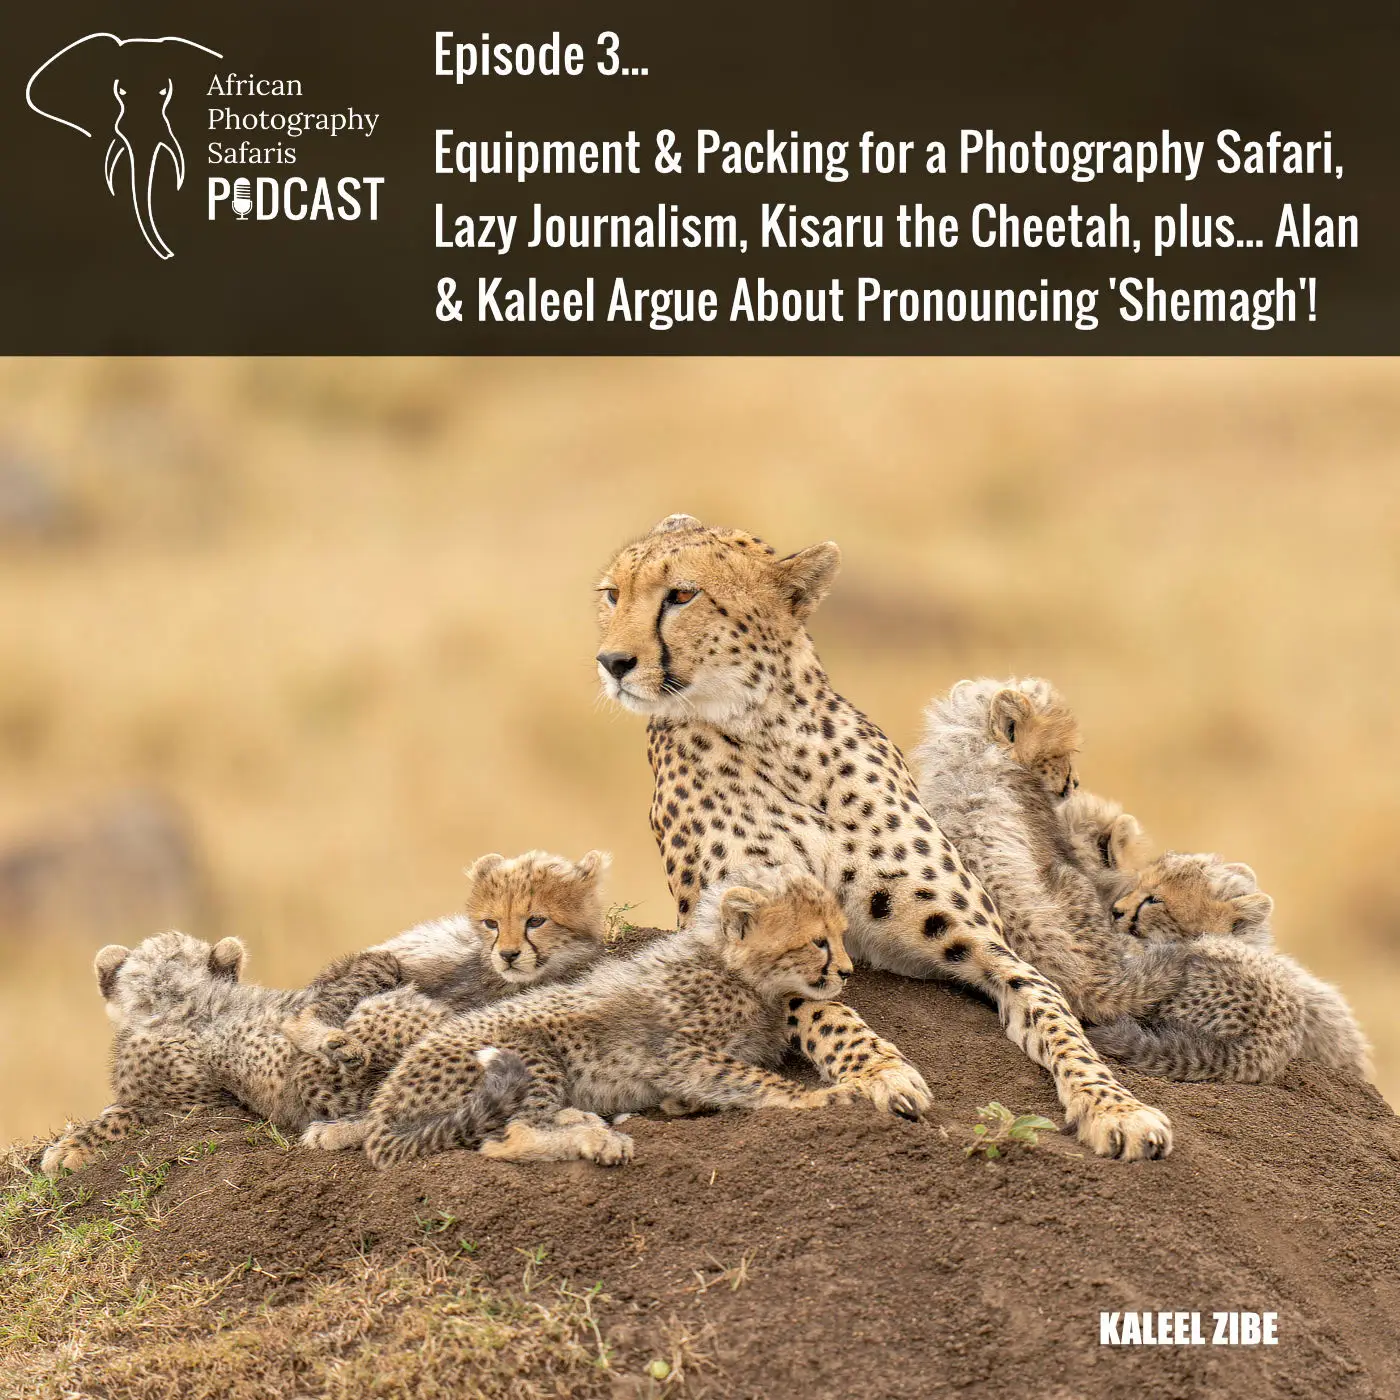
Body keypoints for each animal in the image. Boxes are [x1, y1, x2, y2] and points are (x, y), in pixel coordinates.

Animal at [284, 850, 614, 1127]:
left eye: (536, 920)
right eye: (491, 923)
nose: (507, 955)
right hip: (382, 963)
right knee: (298, 1019)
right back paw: (336, 1044)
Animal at [303, 868, 866, 1168]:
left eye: (840, 935)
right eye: (818, 941)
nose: (846, 970)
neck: (734, 970)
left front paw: (684, 1104)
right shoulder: (677, 1050)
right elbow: (755, 1078)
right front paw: (824, 1097)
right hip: (529, 1052)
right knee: (505, 1139)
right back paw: (597, 1138)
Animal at [594, 516, 1171, 1161]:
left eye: (681, 595)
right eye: (612, 595)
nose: (612, 661)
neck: (772, 734)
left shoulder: (978, 942)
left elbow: (1054, 1015)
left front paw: (1115, 1106)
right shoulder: (747, 933)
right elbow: (824, 1010)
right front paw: (880, 1072)